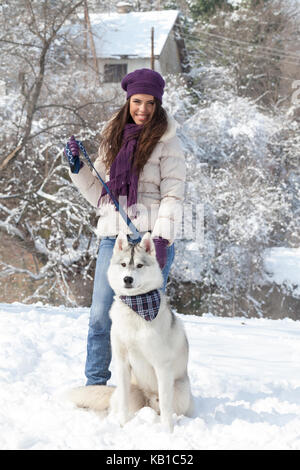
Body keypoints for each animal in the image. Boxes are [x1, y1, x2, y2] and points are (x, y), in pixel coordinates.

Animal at [68, 230, 193, 430]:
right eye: (124, 264)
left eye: (140, 265)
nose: (127, 279)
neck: (136, 307)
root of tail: (149, 401)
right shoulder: (122, 362)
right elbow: (124, 401)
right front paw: (122, 424)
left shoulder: (162, 366)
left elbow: (166, 406)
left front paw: (168, 431)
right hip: (132, 391)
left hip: (180, 391)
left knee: (168, 406)